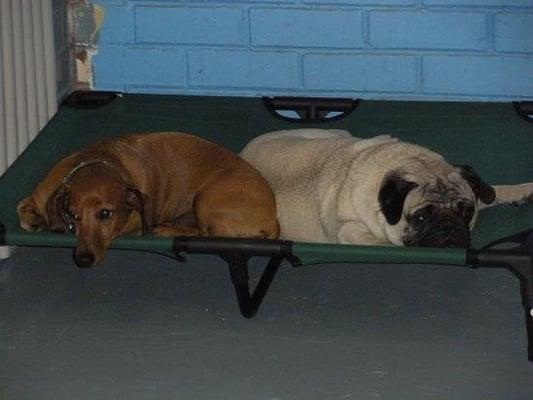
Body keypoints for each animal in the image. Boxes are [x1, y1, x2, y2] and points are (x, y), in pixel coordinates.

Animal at [17, 133, 278, 268]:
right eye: (72, 215)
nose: (83, 259)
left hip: (205, 198)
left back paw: (169, 230)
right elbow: (23, 207)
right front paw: (34, 218)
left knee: (209, 233)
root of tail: (273, 221)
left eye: (105, 214)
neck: (98, 160)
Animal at [241, 129, 532, 247]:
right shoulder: (351, 231)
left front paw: (522, 190)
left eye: (466, 213)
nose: (447, 226)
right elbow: (389, 242)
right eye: (420, 218)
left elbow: (492, 191)